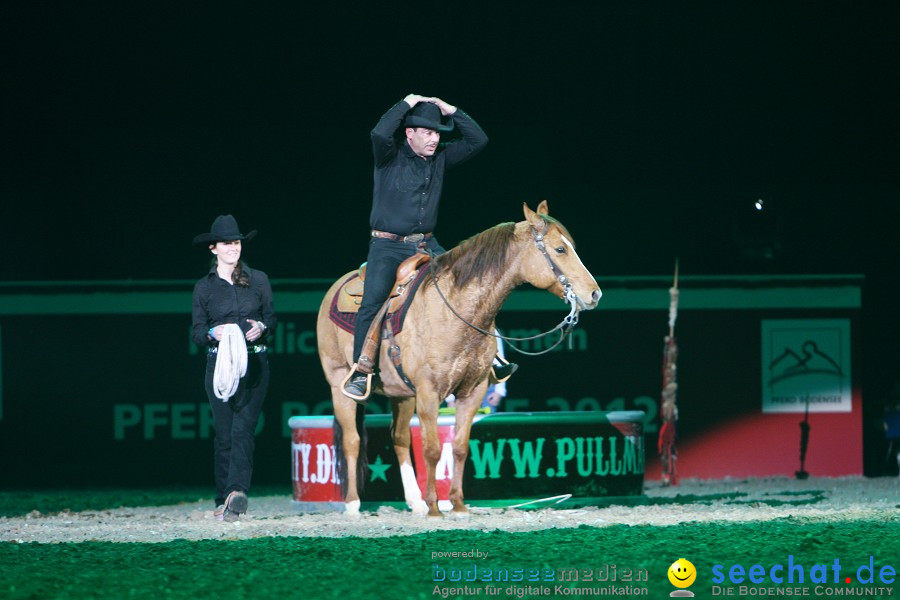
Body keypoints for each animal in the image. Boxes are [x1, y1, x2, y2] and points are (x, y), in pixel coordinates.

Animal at [312, 200, 600, 516]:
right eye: (560, 249)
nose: (594, 293)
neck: (455, 310)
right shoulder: (429, 393)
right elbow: (433, 449)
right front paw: (435, 507)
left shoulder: (472, 392)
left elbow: (460, 447)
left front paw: (458, 505)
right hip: (340, 383)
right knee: (351, 440)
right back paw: (353, 504)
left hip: (402, 394)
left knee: (399, 439)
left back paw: (414, 502)